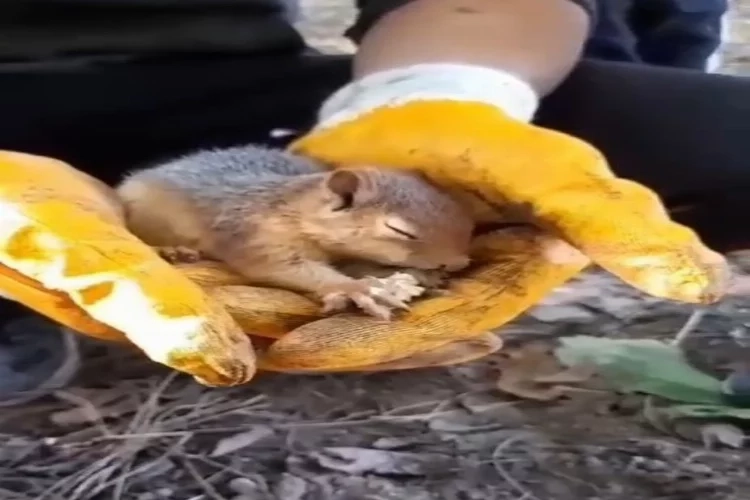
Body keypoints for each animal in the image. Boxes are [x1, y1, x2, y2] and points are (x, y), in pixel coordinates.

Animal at [116, 144, 476, 320]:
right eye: (399, 230)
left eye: (462, 215)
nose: (460, 263)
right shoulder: (257, 234)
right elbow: (282, 267)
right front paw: (357, 288)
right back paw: (173, 250)